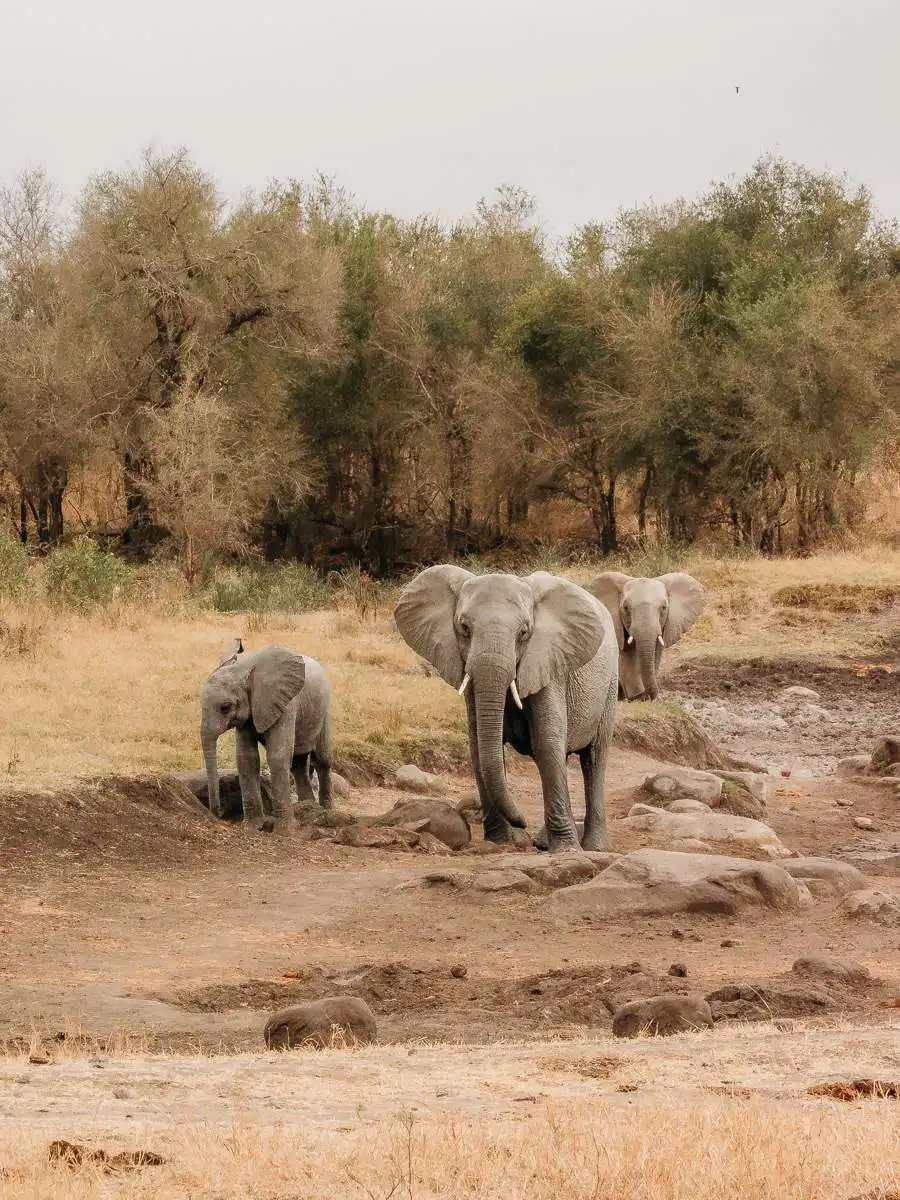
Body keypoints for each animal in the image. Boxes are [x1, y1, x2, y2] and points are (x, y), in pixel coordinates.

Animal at [200, 639, 333, 834]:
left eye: (225, 708)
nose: (218, 813)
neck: (242, 669)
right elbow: (246, 758)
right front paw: (253, 828)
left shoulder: (286, 704)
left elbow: (277, 756)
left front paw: (285, 831)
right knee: (298, 764)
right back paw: (307, 808)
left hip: (324, 712)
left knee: (322, 760)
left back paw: (327, 812)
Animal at [394, 567, 618, 854]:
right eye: (464, 628)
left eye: (523, 632)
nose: (522, 823)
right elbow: (479, 747)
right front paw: (501, 841)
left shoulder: (549, 662)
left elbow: (547, 742)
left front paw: (566, 850)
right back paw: (544, 842)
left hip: (610, 684)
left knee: (594, 758)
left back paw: (595, 847)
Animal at [586, 572, 706, 701]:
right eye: (626, 608)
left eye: (664, 608)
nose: (649, 695)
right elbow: (626, 654)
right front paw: (638, 697)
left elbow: (656, 654)